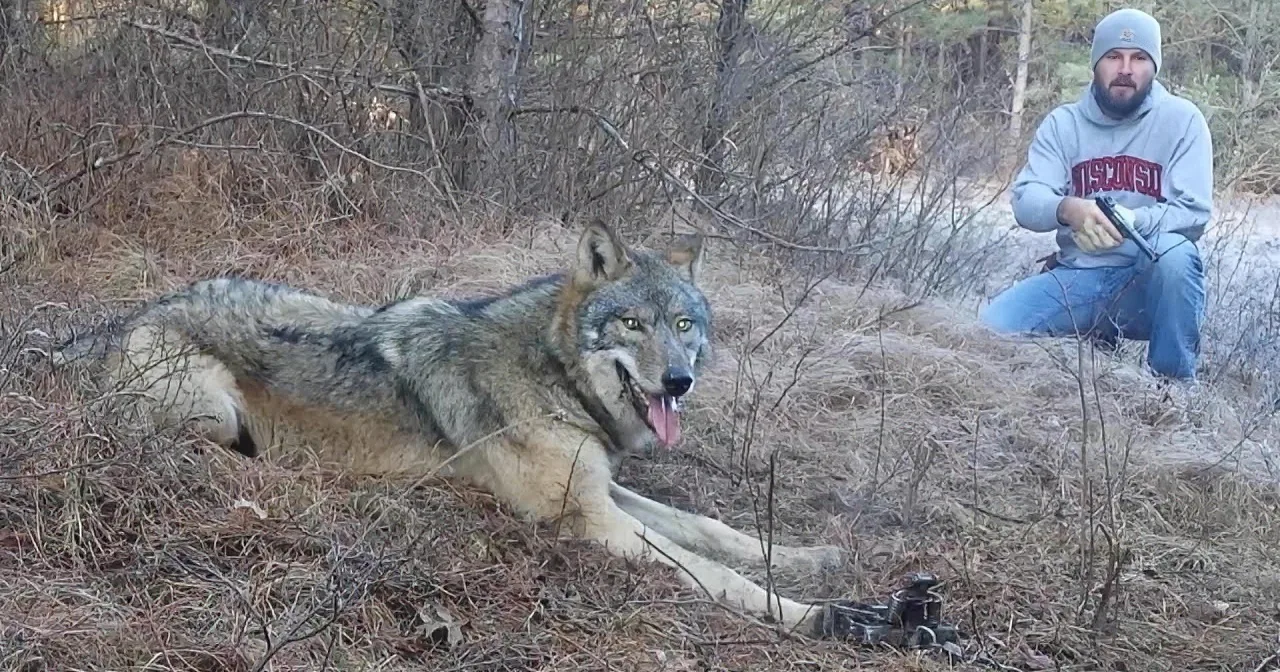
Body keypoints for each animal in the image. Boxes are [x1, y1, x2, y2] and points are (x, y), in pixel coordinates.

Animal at [51, 221, 850, 635]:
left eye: (685, 326)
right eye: (633, 324)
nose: (679, 381)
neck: (551, 370)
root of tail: (133, 315)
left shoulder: (605, 493)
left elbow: (715, 530)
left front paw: (812, 559)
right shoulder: (587, 519)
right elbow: (713, 572)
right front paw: (812, 615)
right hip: (215, 412)